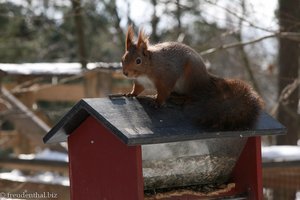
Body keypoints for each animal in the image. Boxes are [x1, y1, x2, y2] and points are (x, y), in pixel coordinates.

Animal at [121, 25, 262, 130]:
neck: (146, 71)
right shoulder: (140, 82)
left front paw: (157, 102)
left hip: (190, 78)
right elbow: (137, 89)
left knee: (192, 96)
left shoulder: (166, 77)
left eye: (138, 61)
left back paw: (181, 98)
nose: (126, 73)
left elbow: (163, 92)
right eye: (123, 58)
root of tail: (205, 79)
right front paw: (130, 94)